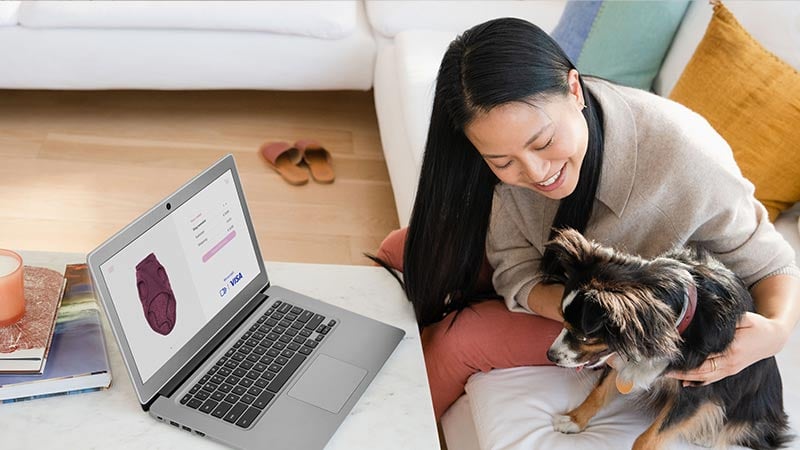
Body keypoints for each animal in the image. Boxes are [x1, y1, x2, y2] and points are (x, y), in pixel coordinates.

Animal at [544, 230, 788, 448]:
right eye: (562, 321)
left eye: (584, 337)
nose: (550, 355)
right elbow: (598, 391)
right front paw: (574, 419)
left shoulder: (698, 388)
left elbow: (650, 436)